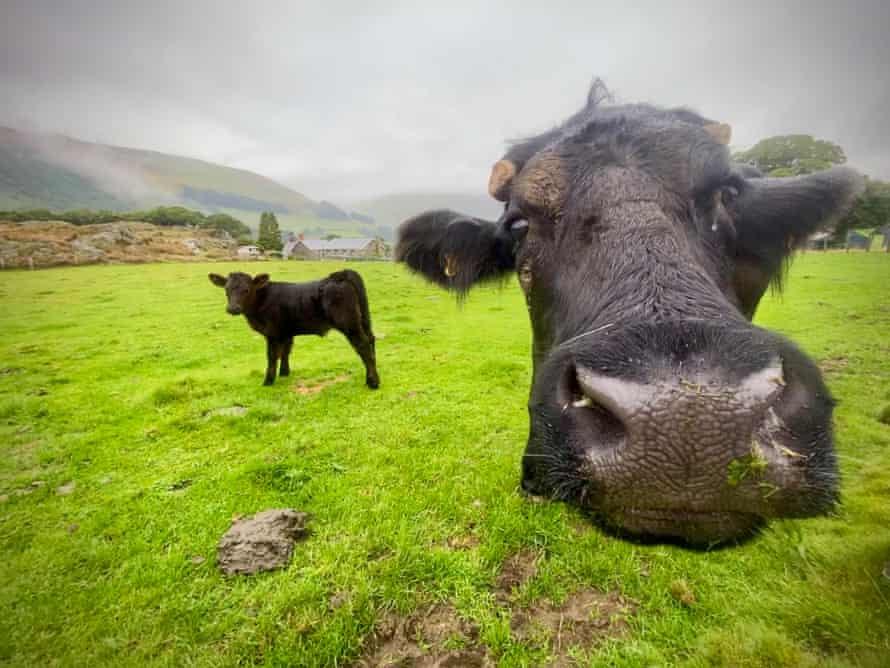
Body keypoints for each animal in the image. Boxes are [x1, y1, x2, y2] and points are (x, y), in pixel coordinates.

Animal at [211, 268, 378, 388]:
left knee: (363, 345)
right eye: (226, 290)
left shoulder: (272, 333)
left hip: (349, 323)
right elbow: (285, 351)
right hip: (363, 319)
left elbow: (272, 356)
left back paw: (373, 382)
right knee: (371, 339)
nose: (232, 308)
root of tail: (340, 274)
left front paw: (268, 381)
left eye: (246, 290)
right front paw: (284, 373)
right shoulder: (286, 332)